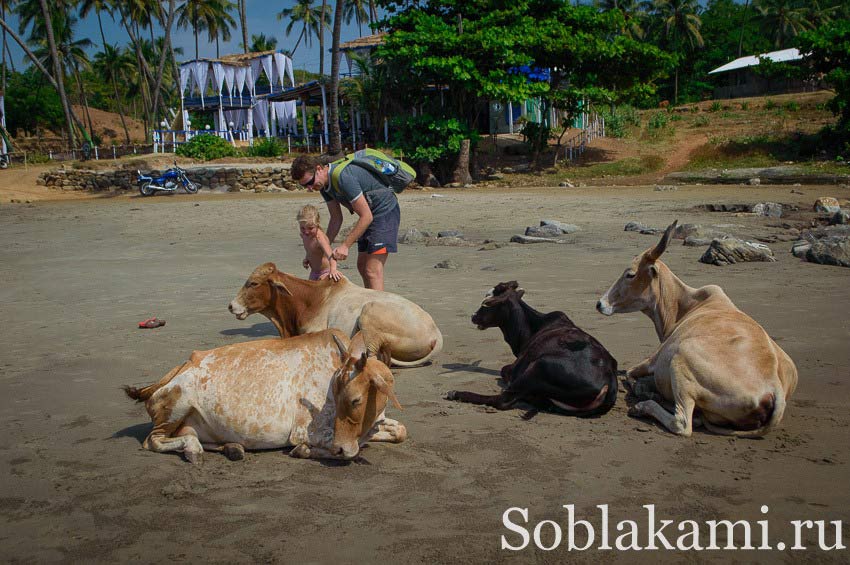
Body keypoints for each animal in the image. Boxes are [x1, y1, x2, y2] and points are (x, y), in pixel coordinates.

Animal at [121, 328, 408, 460]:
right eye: (336, 398)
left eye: (355, 399)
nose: (340, 446)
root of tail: (180, 367)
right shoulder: (305, 431)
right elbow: (350, 449)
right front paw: (304, 450)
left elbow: (400, 431)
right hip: (178, 403)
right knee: (153, 441)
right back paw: (194, 451)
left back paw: (232, 448)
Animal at [444, 282, 616, 418]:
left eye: (487, 303)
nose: (473, 316)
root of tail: (609, 382)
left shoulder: (516, 366)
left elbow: (504, 371)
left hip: (538, 366)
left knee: (502, 400)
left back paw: (456, 393)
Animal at [596, 220, 796, 436]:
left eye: (630, 274)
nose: (600, 303)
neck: (686, 306)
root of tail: (774, 387)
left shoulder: (654, 359)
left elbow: (631, 374)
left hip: (680, 359)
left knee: (683, 423)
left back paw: (643, 406)